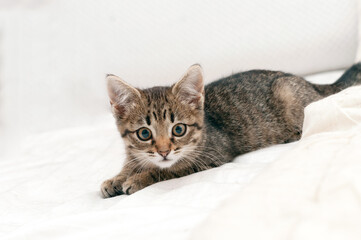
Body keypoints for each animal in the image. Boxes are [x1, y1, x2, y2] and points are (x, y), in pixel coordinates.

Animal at [100, 62, 360, 198]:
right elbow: (132, 163)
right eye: (144, 133)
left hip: (289, 93)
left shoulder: (212, 156)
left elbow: (169, 170)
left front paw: (139, 178)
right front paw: (116, 178)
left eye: (179, 129)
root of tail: (315, 84)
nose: (164, 152)